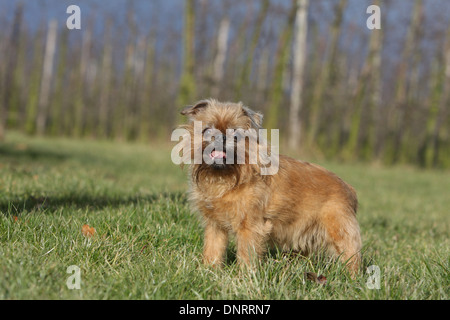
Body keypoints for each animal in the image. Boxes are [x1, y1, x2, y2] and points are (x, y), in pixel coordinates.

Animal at [177, 99, 362, 276]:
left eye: (236, 135)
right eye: (207, 130)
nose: (221, 137)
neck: (224, 176)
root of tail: (349, 188)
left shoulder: (250, 227)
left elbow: (246, 254)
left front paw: (245, 277)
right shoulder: (215, 226)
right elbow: (213, 249)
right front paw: (209, 271)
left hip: (339, 230)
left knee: (351, 256)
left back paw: (351, 279)